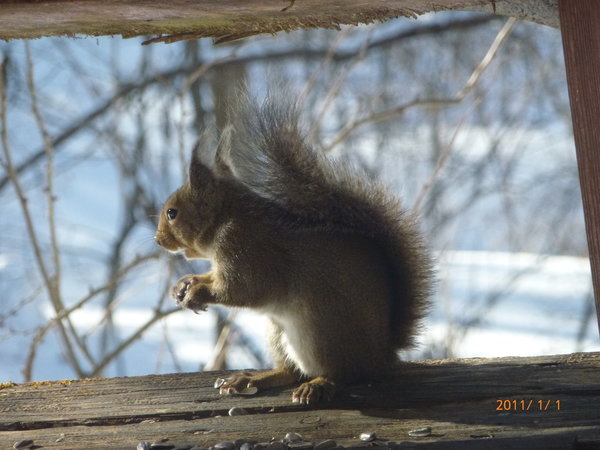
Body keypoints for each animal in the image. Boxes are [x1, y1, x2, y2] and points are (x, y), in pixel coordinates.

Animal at [155, 91, 432, 404]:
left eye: (172, 213)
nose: (158, 240)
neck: (227, 217)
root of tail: (381, 355)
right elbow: (213, 277)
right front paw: (185, 284)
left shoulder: (247, 251)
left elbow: (242, 290)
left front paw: (199, 293)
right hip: (278, 333)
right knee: (290, 371)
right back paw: (251, 378)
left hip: (323, 332)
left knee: (343, 373)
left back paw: (319, 385)